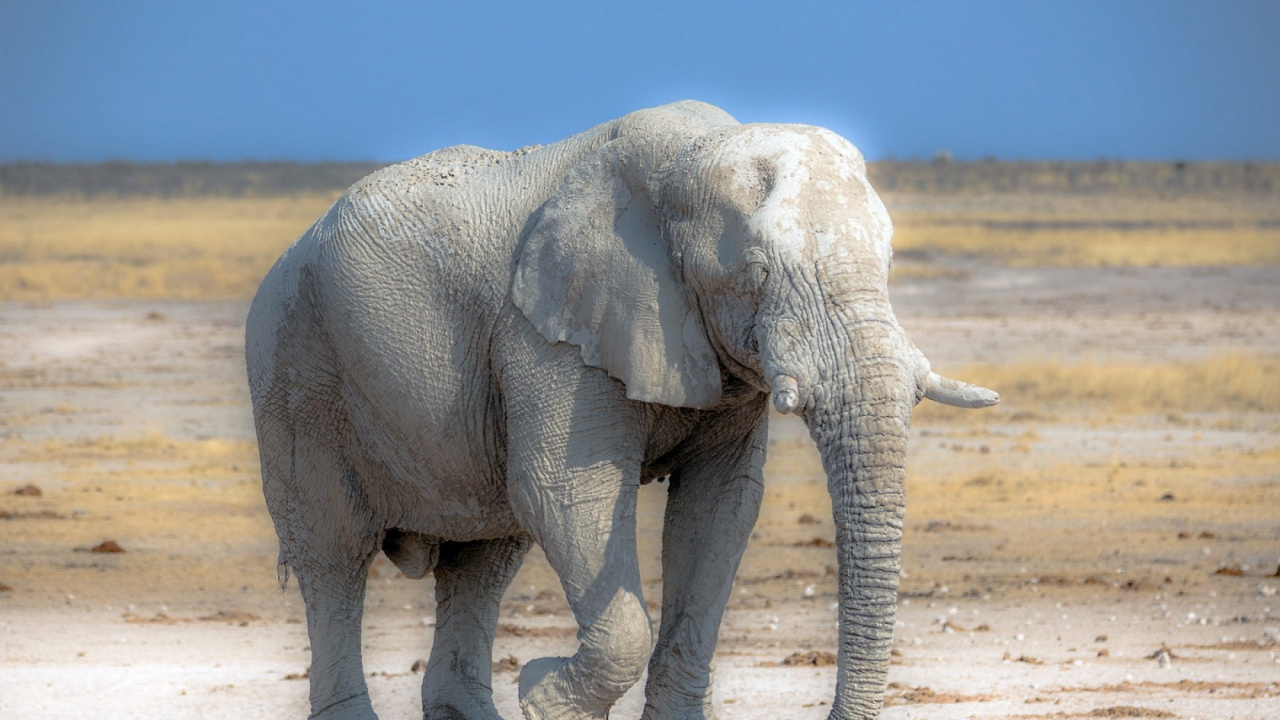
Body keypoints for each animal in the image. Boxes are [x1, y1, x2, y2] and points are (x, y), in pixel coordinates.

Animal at [245, 100, 998, 720]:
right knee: (334, 557)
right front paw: (543, 695)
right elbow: (567, 490)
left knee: (483, 561)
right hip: (293, 365)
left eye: (890, 260)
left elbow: (721, 505)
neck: (694, 153)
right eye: (755, 274)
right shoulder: (548, 335)